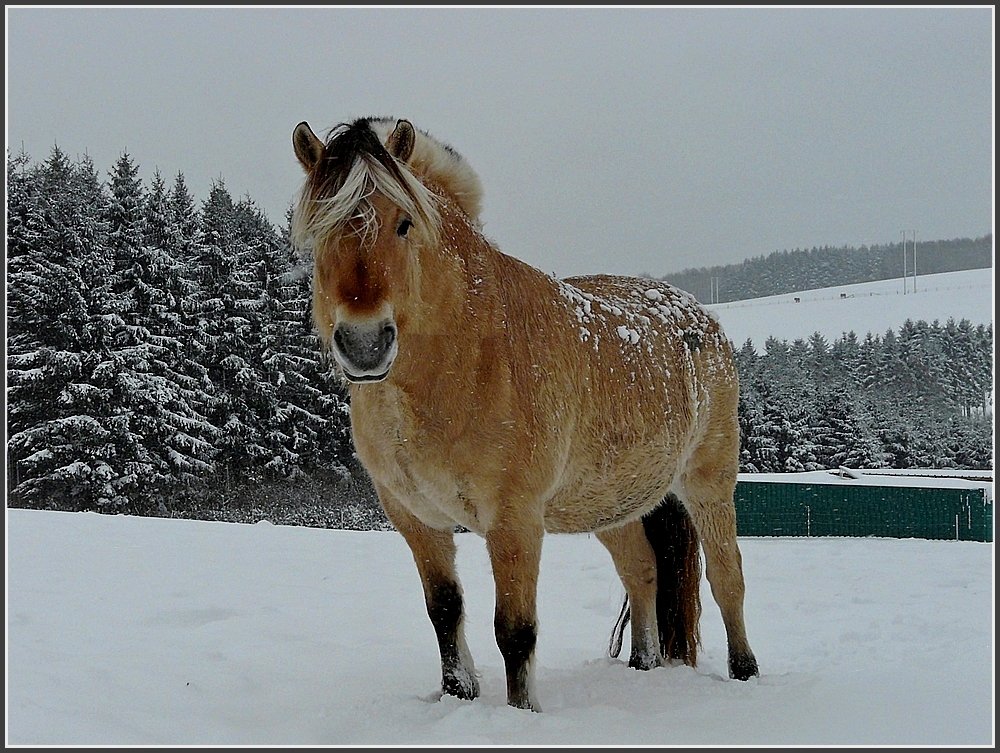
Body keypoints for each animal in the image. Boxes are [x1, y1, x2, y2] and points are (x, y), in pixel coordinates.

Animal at [290, 117, 756, 712]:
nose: (365, 344)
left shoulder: (514, 520)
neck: (471, 351)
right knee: (641, 571)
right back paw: (643, 665)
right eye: (318, 234)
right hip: (611, 503)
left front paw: (521, 712)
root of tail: (703, 318)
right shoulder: (415, 519)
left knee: (727, 577)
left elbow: (514, 630)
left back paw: (745, 671)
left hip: (707, 483)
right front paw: (458, 694)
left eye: (403, 224)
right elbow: (444, 612)